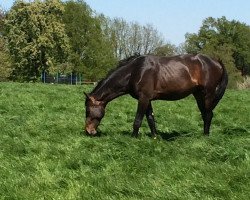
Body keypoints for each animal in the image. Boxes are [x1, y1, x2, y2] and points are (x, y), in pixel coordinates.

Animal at [84, 53, 229, 138]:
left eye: (88, 110)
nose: (88, 131)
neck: (135, 71)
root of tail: (217, 62)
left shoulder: (143, 99)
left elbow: (138, 120)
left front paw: (133, 138)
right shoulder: (147, 99)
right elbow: (150, 119)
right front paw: (155, 137)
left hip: (207, 94)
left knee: (208, 115)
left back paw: (206, 136)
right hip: (198, 94)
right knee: (205, 114)